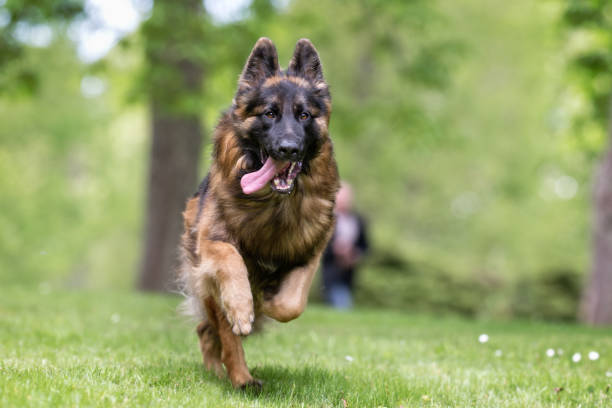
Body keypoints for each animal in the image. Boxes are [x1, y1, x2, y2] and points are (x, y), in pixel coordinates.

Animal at [179, 38, 340, 388]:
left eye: (304, 115)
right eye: (270, 113)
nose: (288, 149)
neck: (273, 205)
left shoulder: (311, 249)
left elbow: (292, 303)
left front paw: (269, 299)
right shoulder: (211, 242)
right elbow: (232, 262)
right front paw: (243, 307)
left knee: (209, 331)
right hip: (207, 282)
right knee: (219, 332)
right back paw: (239, 377)